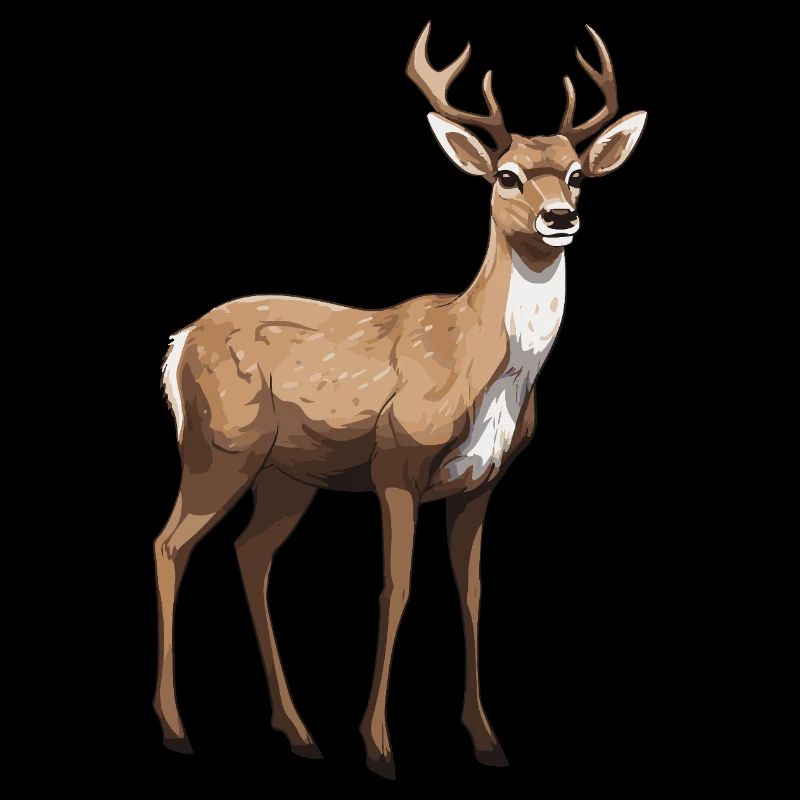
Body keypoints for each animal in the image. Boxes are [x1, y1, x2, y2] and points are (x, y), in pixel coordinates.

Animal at [153, 21, 646, 779]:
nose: (561, 217)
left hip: (287, 475)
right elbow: (397, 586)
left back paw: (298, 731)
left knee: (251, 554)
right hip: (218, 447)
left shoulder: (482, 482)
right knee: (171, 545)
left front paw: (486, 740)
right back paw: (176, 728)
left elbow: (471, 592)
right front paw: (379, 746)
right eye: (506, 175)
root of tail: (178, 344)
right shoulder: (397, 463)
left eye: (576, 174)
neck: (474, 361)